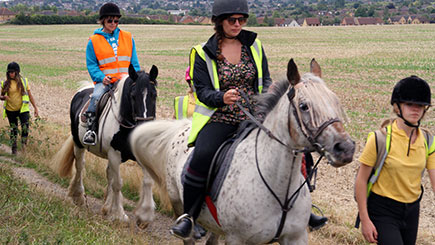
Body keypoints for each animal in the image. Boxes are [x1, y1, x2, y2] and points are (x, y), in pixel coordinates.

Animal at [129, 58, 354, 243]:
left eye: (335, 101)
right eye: (304, 106)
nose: (346, 148)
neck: (281, 191)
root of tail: (182, 128)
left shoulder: (295, 237)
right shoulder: (238, 239)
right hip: (179, 206)